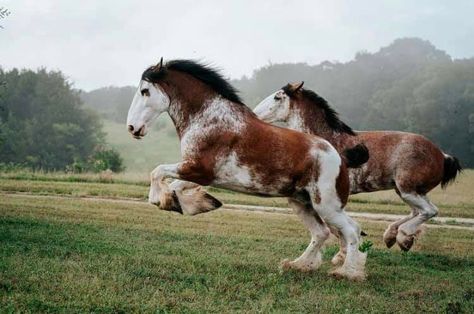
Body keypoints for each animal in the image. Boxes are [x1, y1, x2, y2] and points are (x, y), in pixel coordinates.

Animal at [126, 60, 366, 280]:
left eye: (145, 91)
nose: (132, 128)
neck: (208, 118)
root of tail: (340, 156)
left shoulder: (199, 169)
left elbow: (157, 172)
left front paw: (168, 201)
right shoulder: (198, 173)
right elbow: (172, 187)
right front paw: (196, 203)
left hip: (326, 206)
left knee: (350, 231)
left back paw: (347, 273)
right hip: (302, 202)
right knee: (323, 232)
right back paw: (298, 265)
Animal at [254, 82, 462, 251]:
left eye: (278, 97)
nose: (255, 114)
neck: (324, 143)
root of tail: (442, 155)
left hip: (408, 189)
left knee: (429, 211)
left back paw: (403, 238)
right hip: (407, 192)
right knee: (417, 211)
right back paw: (392, 237)